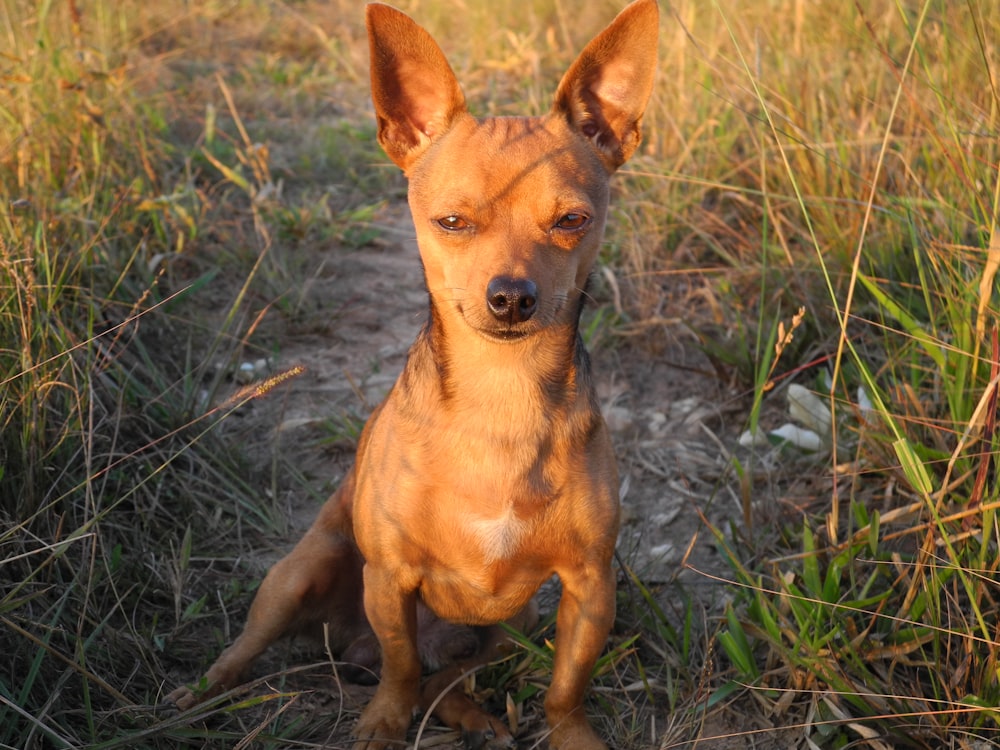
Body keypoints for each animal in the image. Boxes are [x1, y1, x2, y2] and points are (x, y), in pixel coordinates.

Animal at [168, 2, 660, 748]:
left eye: (572, 220)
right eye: (451, 222)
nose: (511, 297)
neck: (501, 392)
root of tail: (350, 652)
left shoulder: (588, 587)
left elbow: (565, 689)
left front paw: (572, 735)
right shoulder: (391, 580)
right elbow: (399, 671)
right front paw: (381, 726)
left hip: (511, 625)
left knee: (448, 676)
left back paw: (474, 715)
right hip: (298, 575)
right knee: (272, 649)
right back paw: (200, 695)